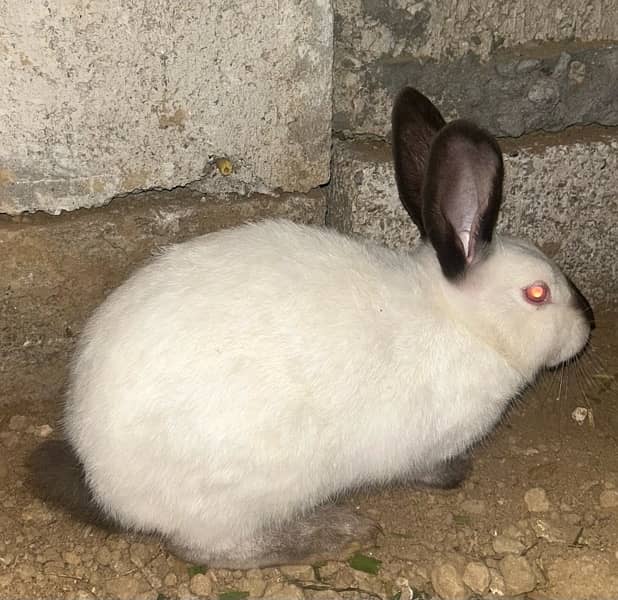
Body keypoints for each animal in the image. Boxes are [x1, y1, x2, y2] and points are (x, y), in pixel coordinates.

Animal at [28, 88, 592, 568]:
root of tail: (103, 481)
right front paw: (455, 474)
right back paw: (337, 533)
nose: (588, 325)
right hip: (251, 490)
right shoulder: (424, 443)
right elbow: (427, 467)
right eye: (537, 294)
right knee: (211, 550)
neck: (462, 322)